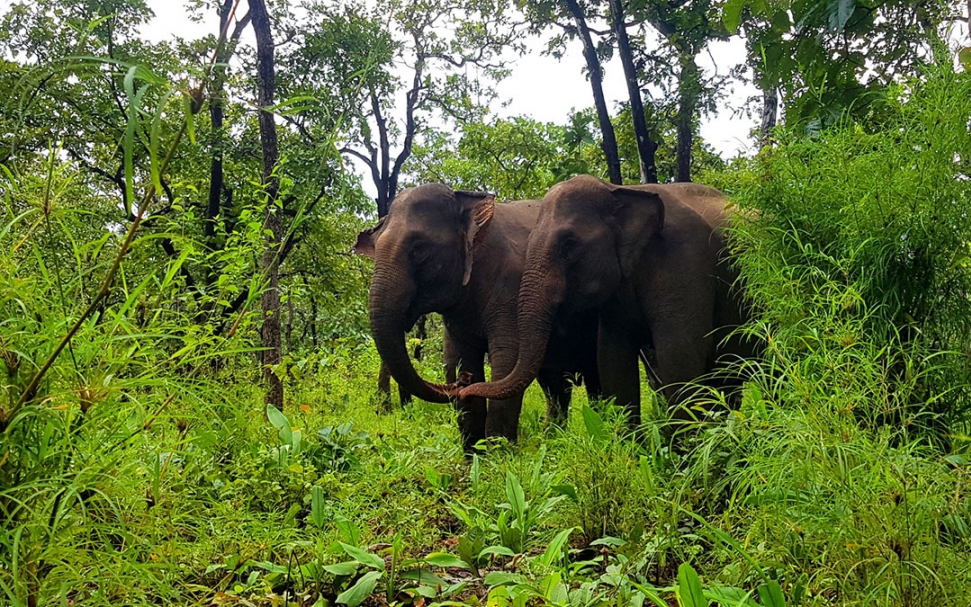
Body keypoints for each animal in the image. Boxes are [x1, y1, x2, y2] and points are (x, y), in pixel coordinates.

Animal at [356, 184, 600, 452]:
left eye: (419, 249)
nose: (464, 383)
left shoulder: (513, 291)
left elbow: (506, 359)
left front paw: (499, 455)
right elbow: (457, 359)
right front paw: (473, 455)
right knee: (556, 386)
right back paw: (553, 442)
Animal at [460, 175, 756, 428]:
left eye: (569, 243)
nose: (463, 386)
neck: (620, 190)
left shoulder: (684, 262)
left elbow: (679, 355)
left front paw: (682, 454)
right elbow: (613, 360)